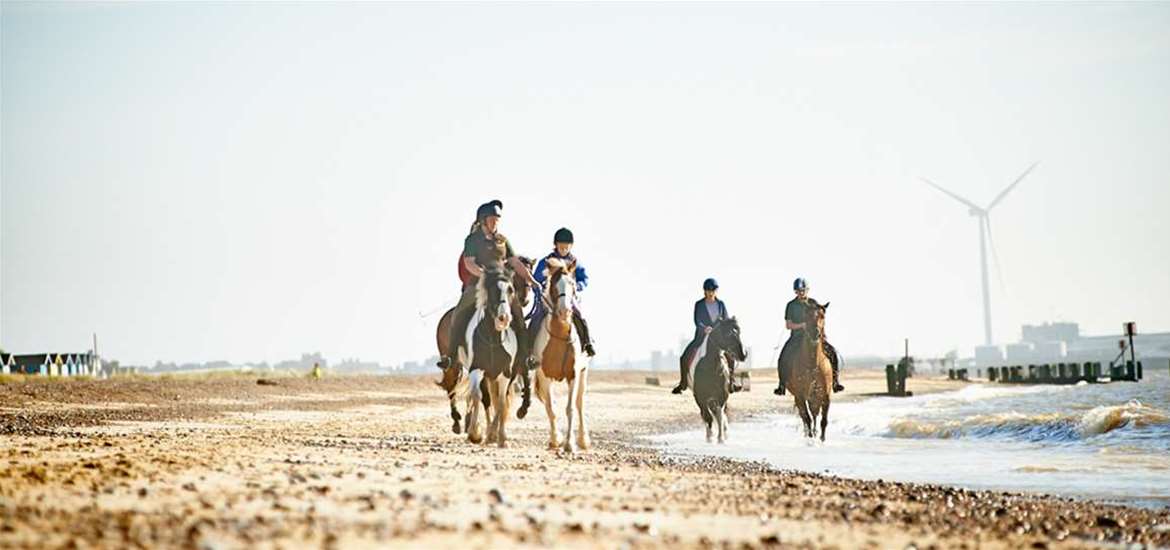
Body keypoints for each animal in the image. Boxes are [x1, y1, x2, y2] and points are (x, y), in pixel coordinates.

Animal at [435, 256, 535, 432]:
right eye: (518, 277)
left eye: (529, 275)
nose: (524, 300)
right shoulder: (480, 368)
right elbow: (487, 398)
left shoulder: (512, 366)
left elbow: (515, 386)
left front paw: (520, 410)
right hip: (453, 363)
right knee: (451, 387)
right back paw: (457, 421)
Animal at [531, 256, 589, 451]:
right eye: (555, 285)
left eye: (572, 284)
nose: (565, 311)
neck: (559, 337)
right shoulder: (544, 376)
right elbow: (551, 408)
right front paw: (555, 439)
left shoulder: (573, 374)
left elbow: (570, 408)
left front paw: (570, 444)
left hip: (584, 374)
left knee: (579, 404)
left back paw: (583, 440)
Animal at [786, 301, 833, 440]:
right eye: (806, 316)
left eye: (823, 316)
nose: (815, 333)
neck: (813, 364)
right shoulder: (801, 396)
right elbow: (807, 418)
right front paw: (811, 439)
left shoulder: (825, 395)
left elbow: (824, 420)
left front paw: (822, 439)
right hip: (801, 397)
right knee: (806, 417)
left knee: (814, 414)